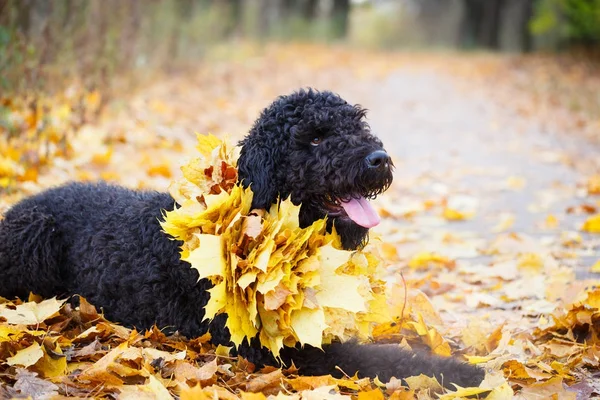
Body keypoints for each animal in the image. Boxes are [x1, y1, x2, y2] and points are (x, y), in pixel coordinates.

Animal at [0, 89, 486, 386]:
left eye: (357, 124)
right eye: (314, 138)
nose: (378, 158)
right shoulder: (288, 351)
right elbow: (388, 359)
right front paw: (466, 374)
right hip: (35, 238)